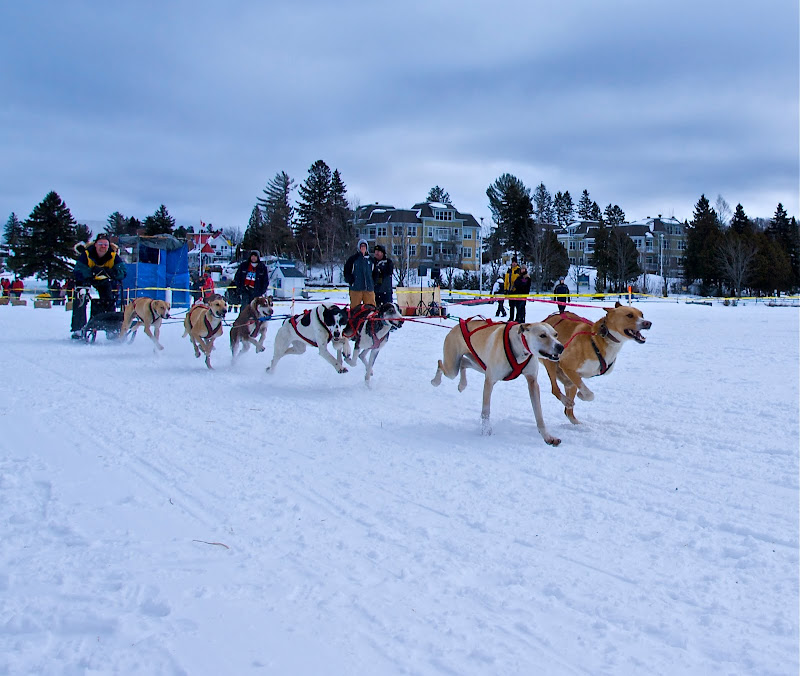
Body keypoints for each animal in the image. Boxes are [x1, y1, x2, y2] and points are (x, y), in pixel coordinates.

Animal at [431, 318, 564, 445]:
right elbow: (486, 411)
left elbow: (539, 414)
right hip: (453, 369)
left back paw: (462, 384)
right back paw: (435, 381)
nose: (560, 347)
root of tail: (457, 325)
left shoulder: (532, 382)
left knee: (463, 363)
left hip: (480, 365)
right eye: (542, 335)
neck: (519, 346)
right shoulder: (489, 381)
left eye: (556, 334)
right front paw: (485, 432)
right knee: (440, 363)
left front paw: (547, 436)